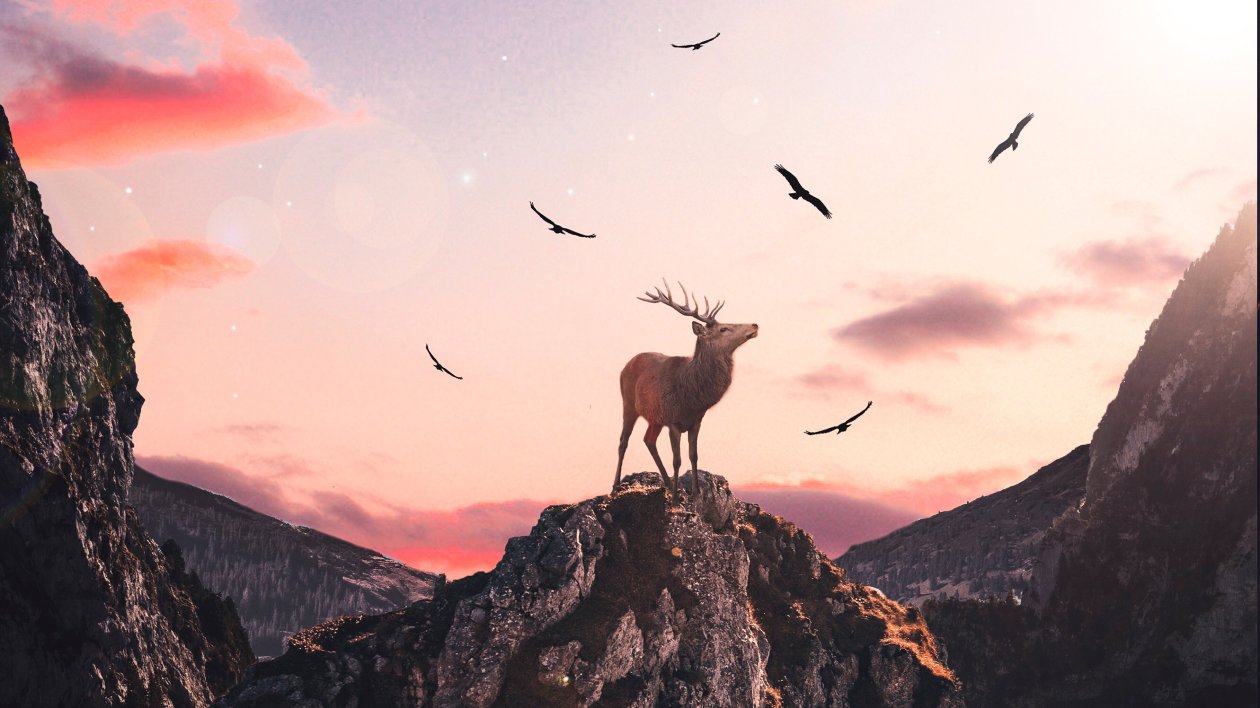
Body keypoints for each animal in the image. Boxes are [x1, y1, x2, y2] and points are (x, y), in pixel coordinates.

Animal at [614, 280, 759, 499]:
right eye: (723, 329)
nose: (755, 324)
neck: (691, 396)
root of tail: (626, 364)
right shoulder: (672, 420)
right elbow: (677, 459)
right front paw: (676, 498)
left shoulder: (696, 420)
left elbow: (693, 455)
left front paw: (695, 492)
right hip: (628, 403)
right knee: (623, 441)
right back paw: (615, 486)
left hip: (654, 418)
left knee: (648, 440)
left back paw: (667, 482)